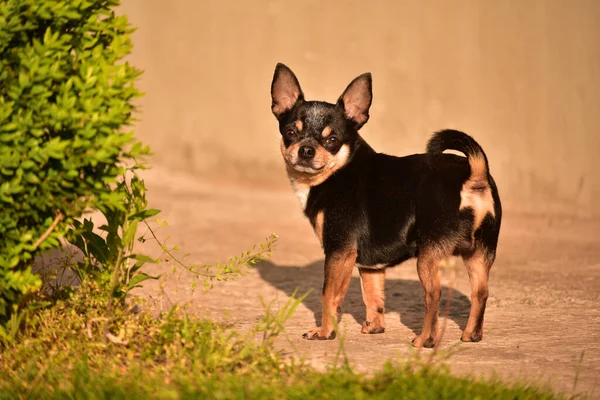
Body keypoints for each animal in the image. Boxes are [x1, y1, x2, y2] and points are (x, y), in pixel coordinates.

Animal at [270, 62, 502, 346]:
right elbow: (373, 295)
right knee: (480, 292)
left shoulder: (339, 251)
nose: (306, 150)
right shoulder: (369, 264)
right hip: (480, 253)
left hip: (428, 256)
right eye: (290, 133)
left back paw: (424, 340)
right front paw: (374, 327)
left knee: (433, 295)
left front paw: (325, 332)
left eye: (332, 140)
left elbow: (329, 295)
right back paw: (471, 334)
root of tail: (474, 175)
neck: (337, 172)